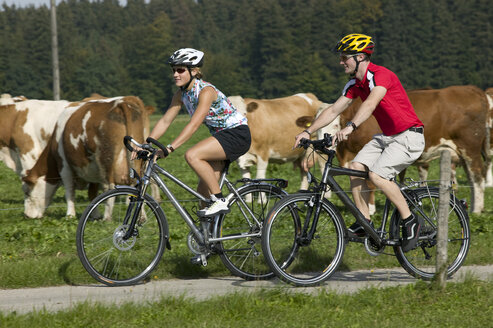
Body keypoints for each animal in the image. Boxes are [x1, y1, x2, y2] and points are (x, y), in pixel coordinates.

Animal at [22, 96, 153, 219]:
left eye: (27, 192)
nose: (27, 215)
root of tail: (121, 103)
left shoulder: (64, 165)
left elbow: (69, 191)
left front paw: (70, 215)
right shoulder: (93, 168)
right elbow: (92, 193)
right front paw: (95, 215)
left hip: (105, 159)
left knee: (109, 186)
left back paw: (107, 217)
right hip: (136, 158)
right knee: (138, 186)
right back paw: (141, 217)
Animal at [334, 85, 488, 213]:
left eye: (335, 125)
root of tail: (473, 89)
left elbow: (370, 183)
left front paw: (370, 210)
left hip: (470, 148)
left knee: (477, 176)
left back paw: (476, 210)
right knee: (471, 178)